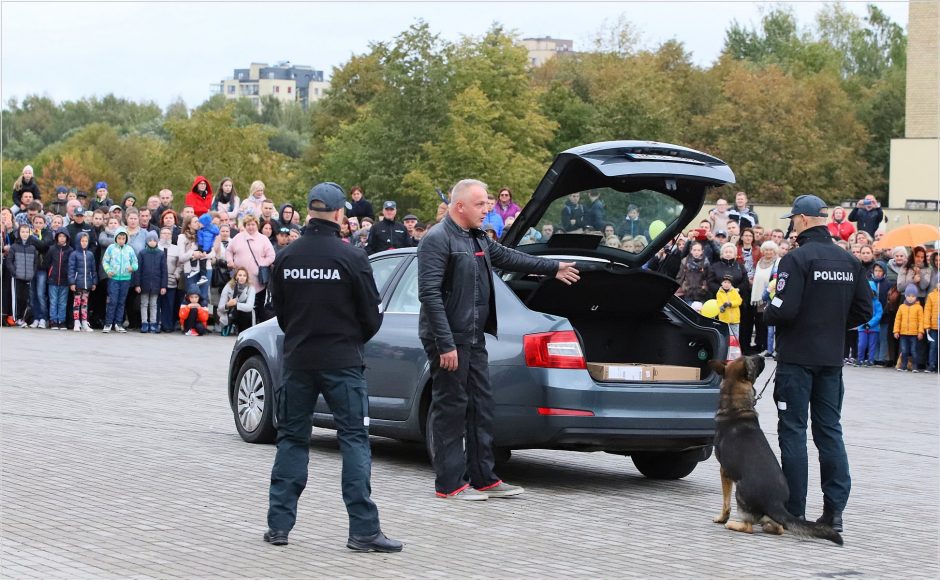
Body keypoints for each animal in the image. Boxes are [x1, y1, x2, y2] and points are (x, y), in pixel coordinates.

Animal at [712, 356, 844, 548]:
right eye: (752, 360)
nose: (764, 355)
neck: (736, 408)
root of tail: (775, 503)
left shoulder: (724, 471)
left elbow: (725, 503)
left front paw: (722, 518)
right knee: (779, 528)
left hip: (740, 491)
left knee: (749, 526)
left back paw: (733, 524)